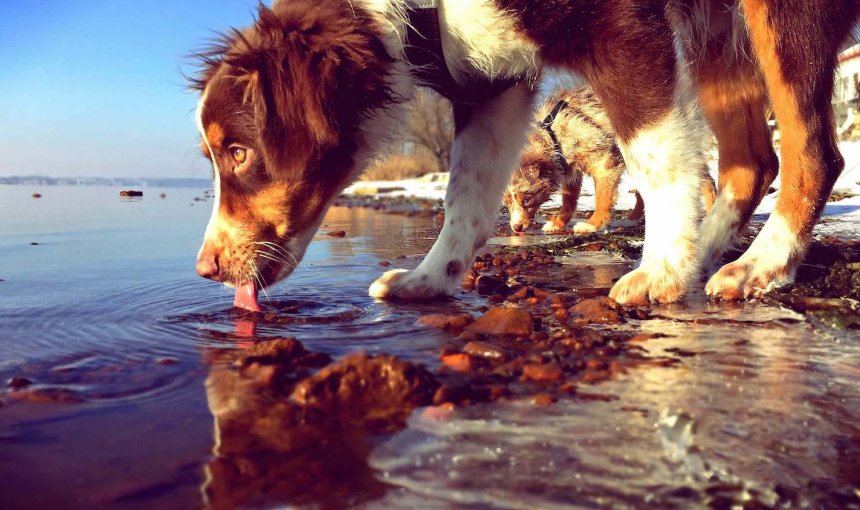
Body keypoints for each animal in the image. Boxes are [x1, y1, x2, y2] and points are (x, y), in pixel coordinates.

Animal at [504, 87, 720, 235]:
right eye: (506, 204)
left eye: (527, 199)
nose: (516, 227)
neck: (552, 134)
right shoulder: (570, 170)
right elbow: (568, 202)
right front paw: (557, 224)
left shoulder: (604, 164)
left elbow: (602, 199)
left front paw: (592, 225)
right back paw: (631, 220)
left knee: (707, 181)